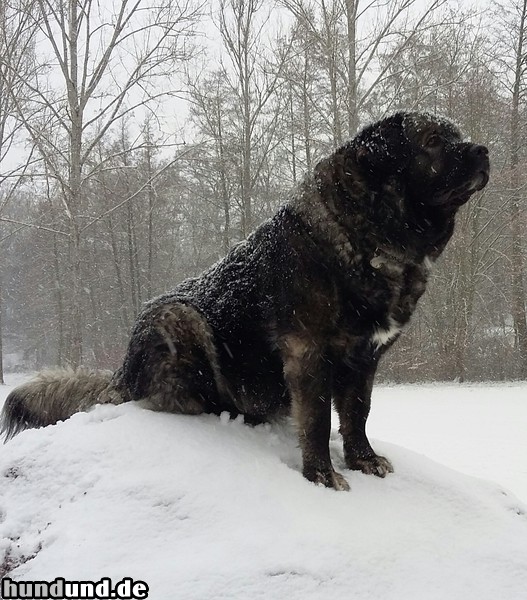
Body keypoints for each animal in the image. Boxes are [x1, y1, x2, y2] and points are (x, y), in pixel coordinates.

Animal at [3, 113, 490, 492]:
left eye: (455, 134)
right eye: (432, 142)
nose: (484, 150)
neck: (369, 238)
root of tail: (120, 374)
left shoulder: (364, 358)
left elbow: (357, 414)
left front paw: (363, 460)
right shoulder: (308, 353)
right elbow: (317, 420)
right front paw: (321, 476)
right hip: (178, 321)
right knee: (172, 401)